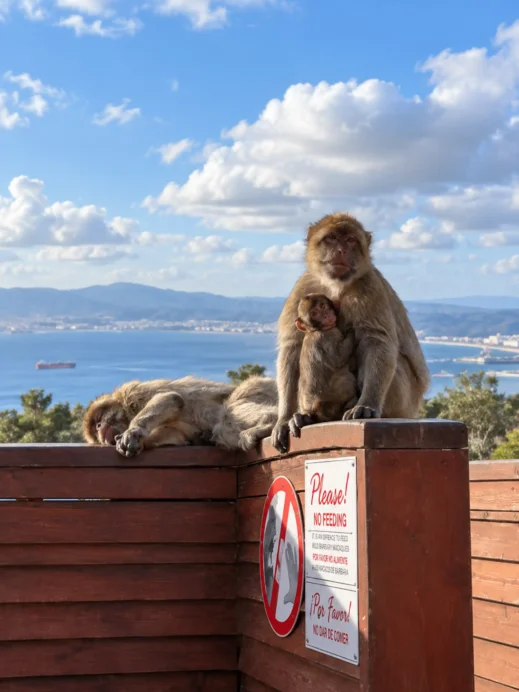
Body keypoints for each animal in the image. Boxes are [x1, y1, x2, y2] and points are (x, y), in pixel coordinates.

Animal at [288, 293, 358, 437]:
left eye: (323, 306)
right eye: (315, 313)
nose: (325, 315)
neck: (314, 330)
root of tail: (315, 410)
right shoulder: (329, 335)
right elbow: (339, 357)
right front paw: (351, 332)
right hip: (333, 400)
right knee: (344, 375)